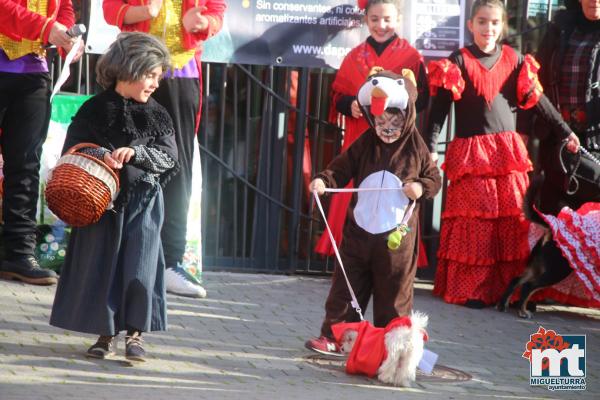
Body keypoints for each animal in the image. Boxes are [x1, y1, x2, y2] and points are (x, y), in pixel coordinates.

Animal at [496, 175, 572, 318]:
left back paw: (502, 305)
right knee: (528, 286)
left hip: (537, 267)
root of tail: (552, 230)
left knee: (516, 280)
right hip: (557, 271)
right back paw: (522, 311)